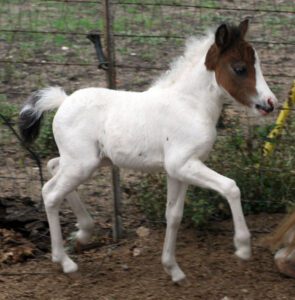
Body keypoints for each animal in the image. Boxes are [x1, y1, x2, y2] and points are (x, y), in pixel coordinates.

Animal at [19, 19, 278, 284]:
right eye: (240, 68)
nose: (271, 103)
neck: (189, 105)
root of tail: (63, 101)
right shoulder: (183, 164)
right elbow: (231, 187)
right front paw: (243, 247)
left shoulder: (178, 171)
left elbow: (174, 215)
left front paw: (173, 269)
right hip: (82, 164)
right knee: (50, 193)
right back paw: (65, 261)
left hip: (90, 161)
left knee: (52, 166)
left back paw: (83, 232)